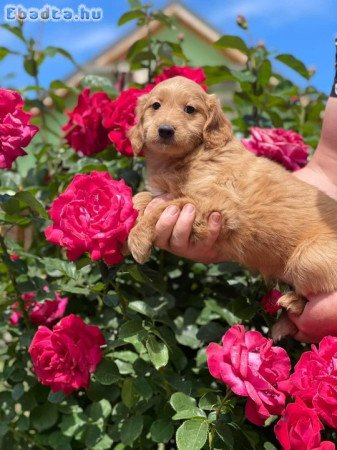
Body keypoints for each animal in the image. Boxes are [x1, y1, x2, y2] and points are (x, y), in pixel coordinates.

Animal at [126, 75, 336, 340]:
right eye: (156, 105)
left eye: (189, 109)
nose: (165, 130)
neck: (187, 157)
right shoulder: (169, 193)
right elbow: (145, 198)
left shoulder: (216, 203)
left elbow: (161, 208)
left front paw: (138, 239)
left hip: (306, 257)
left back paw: (291, 306)